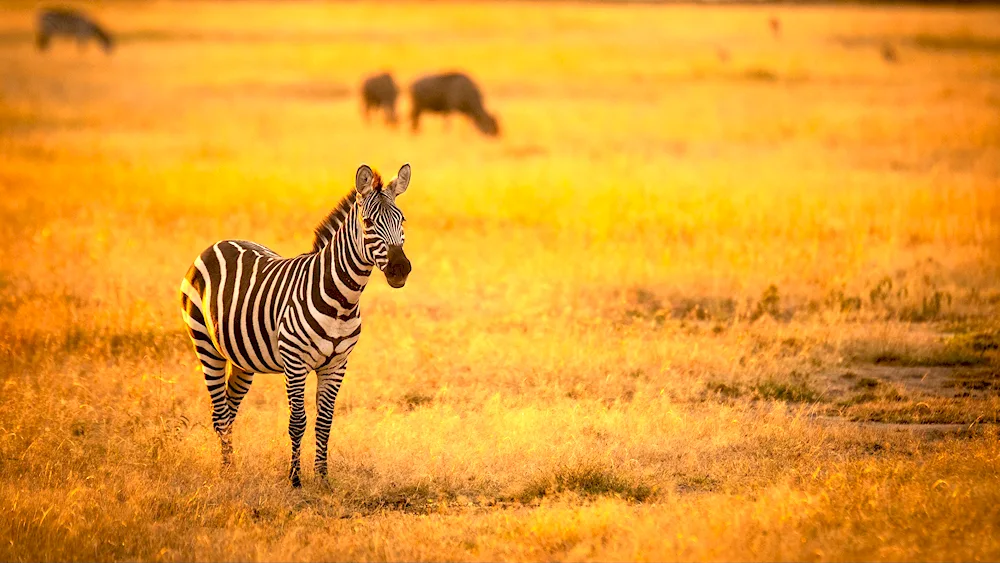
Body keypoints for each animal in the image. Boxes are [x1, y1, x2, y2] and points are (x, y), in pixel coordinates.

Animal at [180, 164, 410, 490]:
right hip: (205, 345)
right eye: (367, 223)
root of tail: (219, 243)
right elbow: (298, 421)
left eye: (402, 220)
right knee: (220, 413)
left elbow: (325, 421)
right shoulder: (295, 362)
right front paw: (296, 479)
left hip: (242, 360)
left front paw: (323, 478)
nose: (400, 269)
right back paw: (227, 472)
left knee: (229, 409)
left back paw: (232, 466)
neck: (342, 301)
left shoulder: (337, 365)